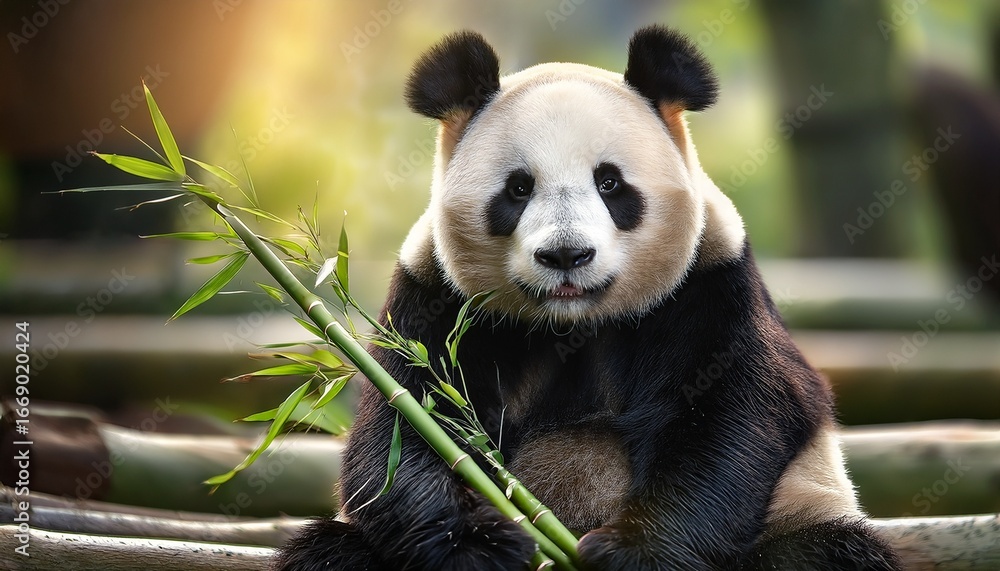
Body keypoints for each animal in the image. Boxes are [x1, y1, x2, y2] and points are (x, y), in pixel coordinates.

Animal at [273, 26, 902, 571]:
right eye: (518, 188)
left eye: (610, 183)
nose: (566, 255)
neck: (574, 324)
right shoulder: (434, 299)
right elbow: (405, 428)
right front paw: (479, 545)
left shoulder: (709, 286)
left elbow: (733, 417)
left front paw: (633, 552)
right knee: (328, 552)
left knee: (827, 552)